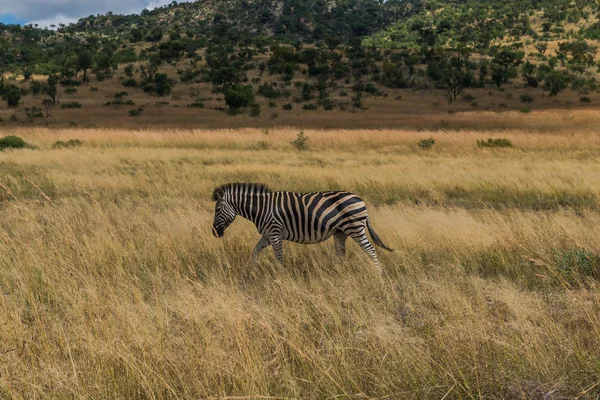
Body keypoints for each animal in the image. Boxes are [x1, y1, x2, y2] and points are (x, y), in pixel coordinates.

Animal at [212, 183, 394, 274]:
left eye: (217, 210)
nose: (214, 232)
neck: (261, 208)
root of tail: (360, 199)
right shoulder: (267, 235)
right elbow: (255, 251)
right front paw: (255, 271)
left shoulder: (275, 233)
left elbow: (279, 257)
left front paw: (281, 277)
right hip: (340, 233)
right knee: (341, 254)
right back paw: (339, 273)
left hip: (355, 228)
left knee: (370, 249)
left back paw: (378, 274)